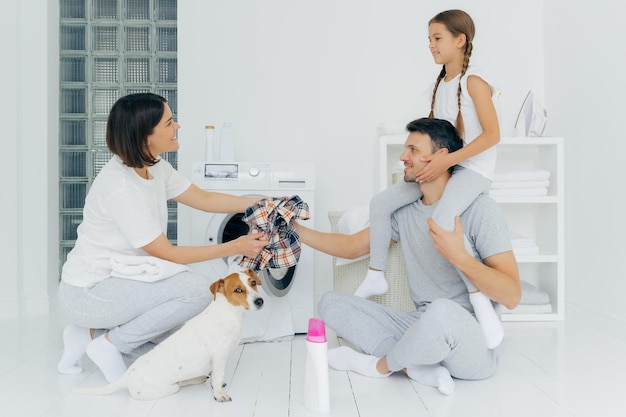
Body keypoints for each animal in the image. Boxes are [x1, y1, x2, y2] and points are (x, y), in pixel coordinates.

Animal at [72, 268, 264, 402]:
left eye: (253, 283)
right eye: (238, 290)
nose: (260, 301)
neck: (230, 312)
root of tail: (127, 376)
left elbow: (215, 376)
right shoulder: (219, 356)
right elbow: (218, 377)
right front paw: (219, 394)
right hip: (168, 389)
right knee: (177, 385)